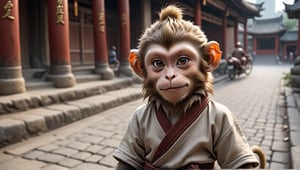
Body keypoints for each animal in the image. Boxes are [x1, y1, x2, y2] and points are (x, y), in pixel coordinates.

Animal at [112, 4, 264, 169]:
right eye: (158, 63)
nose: (170, 76)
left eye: (182, 61)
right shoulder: (136, 118)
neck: (176, 108)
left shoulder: (226, 118)